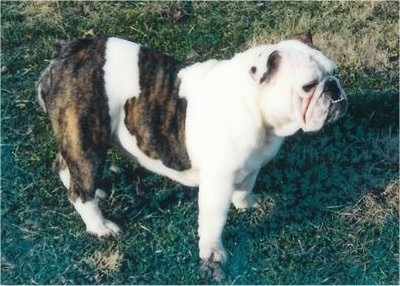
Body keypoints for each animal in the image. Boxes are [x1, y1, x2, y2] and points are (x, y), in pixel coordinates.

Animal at [36, 32, 346, 264]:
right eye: (308, 86)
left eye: (335, 73)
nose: (333, 88)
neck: (254, 104)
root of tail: (66, 52)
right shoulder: (217, 183)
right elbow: (214, 221)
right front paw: (213, 254)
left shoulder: (252, 165)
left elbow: (246, 186)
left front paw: (246, 204)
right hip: (87, 136)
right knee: (80, 187)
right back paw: (99, 226)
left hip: (77, 136)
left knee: (64, 164)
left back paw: (94, 193)